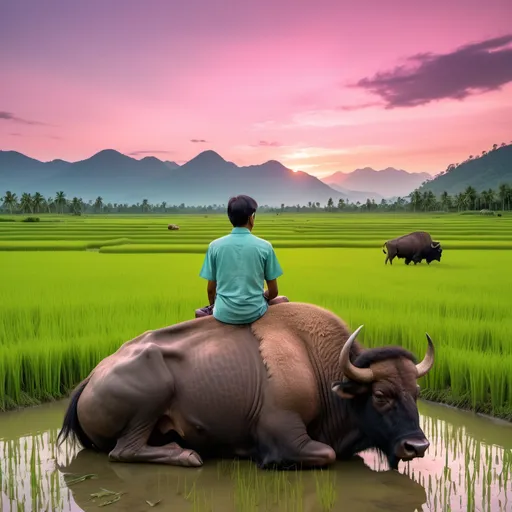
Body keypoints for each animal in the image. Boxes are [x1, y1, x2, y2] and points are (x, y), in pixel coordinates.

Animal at [56, 304, 434, 472]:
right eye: (381, 395)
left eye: (416, 394)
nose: (417, 446)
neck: (317, 363)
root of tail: (91, 378)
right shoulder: (287, 433)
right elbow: (323, 454)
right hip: (151, 394)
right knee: (124, 451)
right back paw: (187, 455)